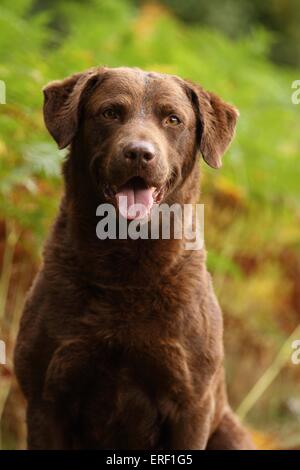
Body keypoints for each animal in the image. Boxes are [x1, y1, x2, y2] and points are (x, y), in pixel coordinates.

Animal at [13, 67, 253, 452]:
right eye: (110, 112)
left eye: (173, 119)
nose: (140, 153)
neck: (125, 264)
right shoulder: (45, 399)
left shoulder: (191, 406)